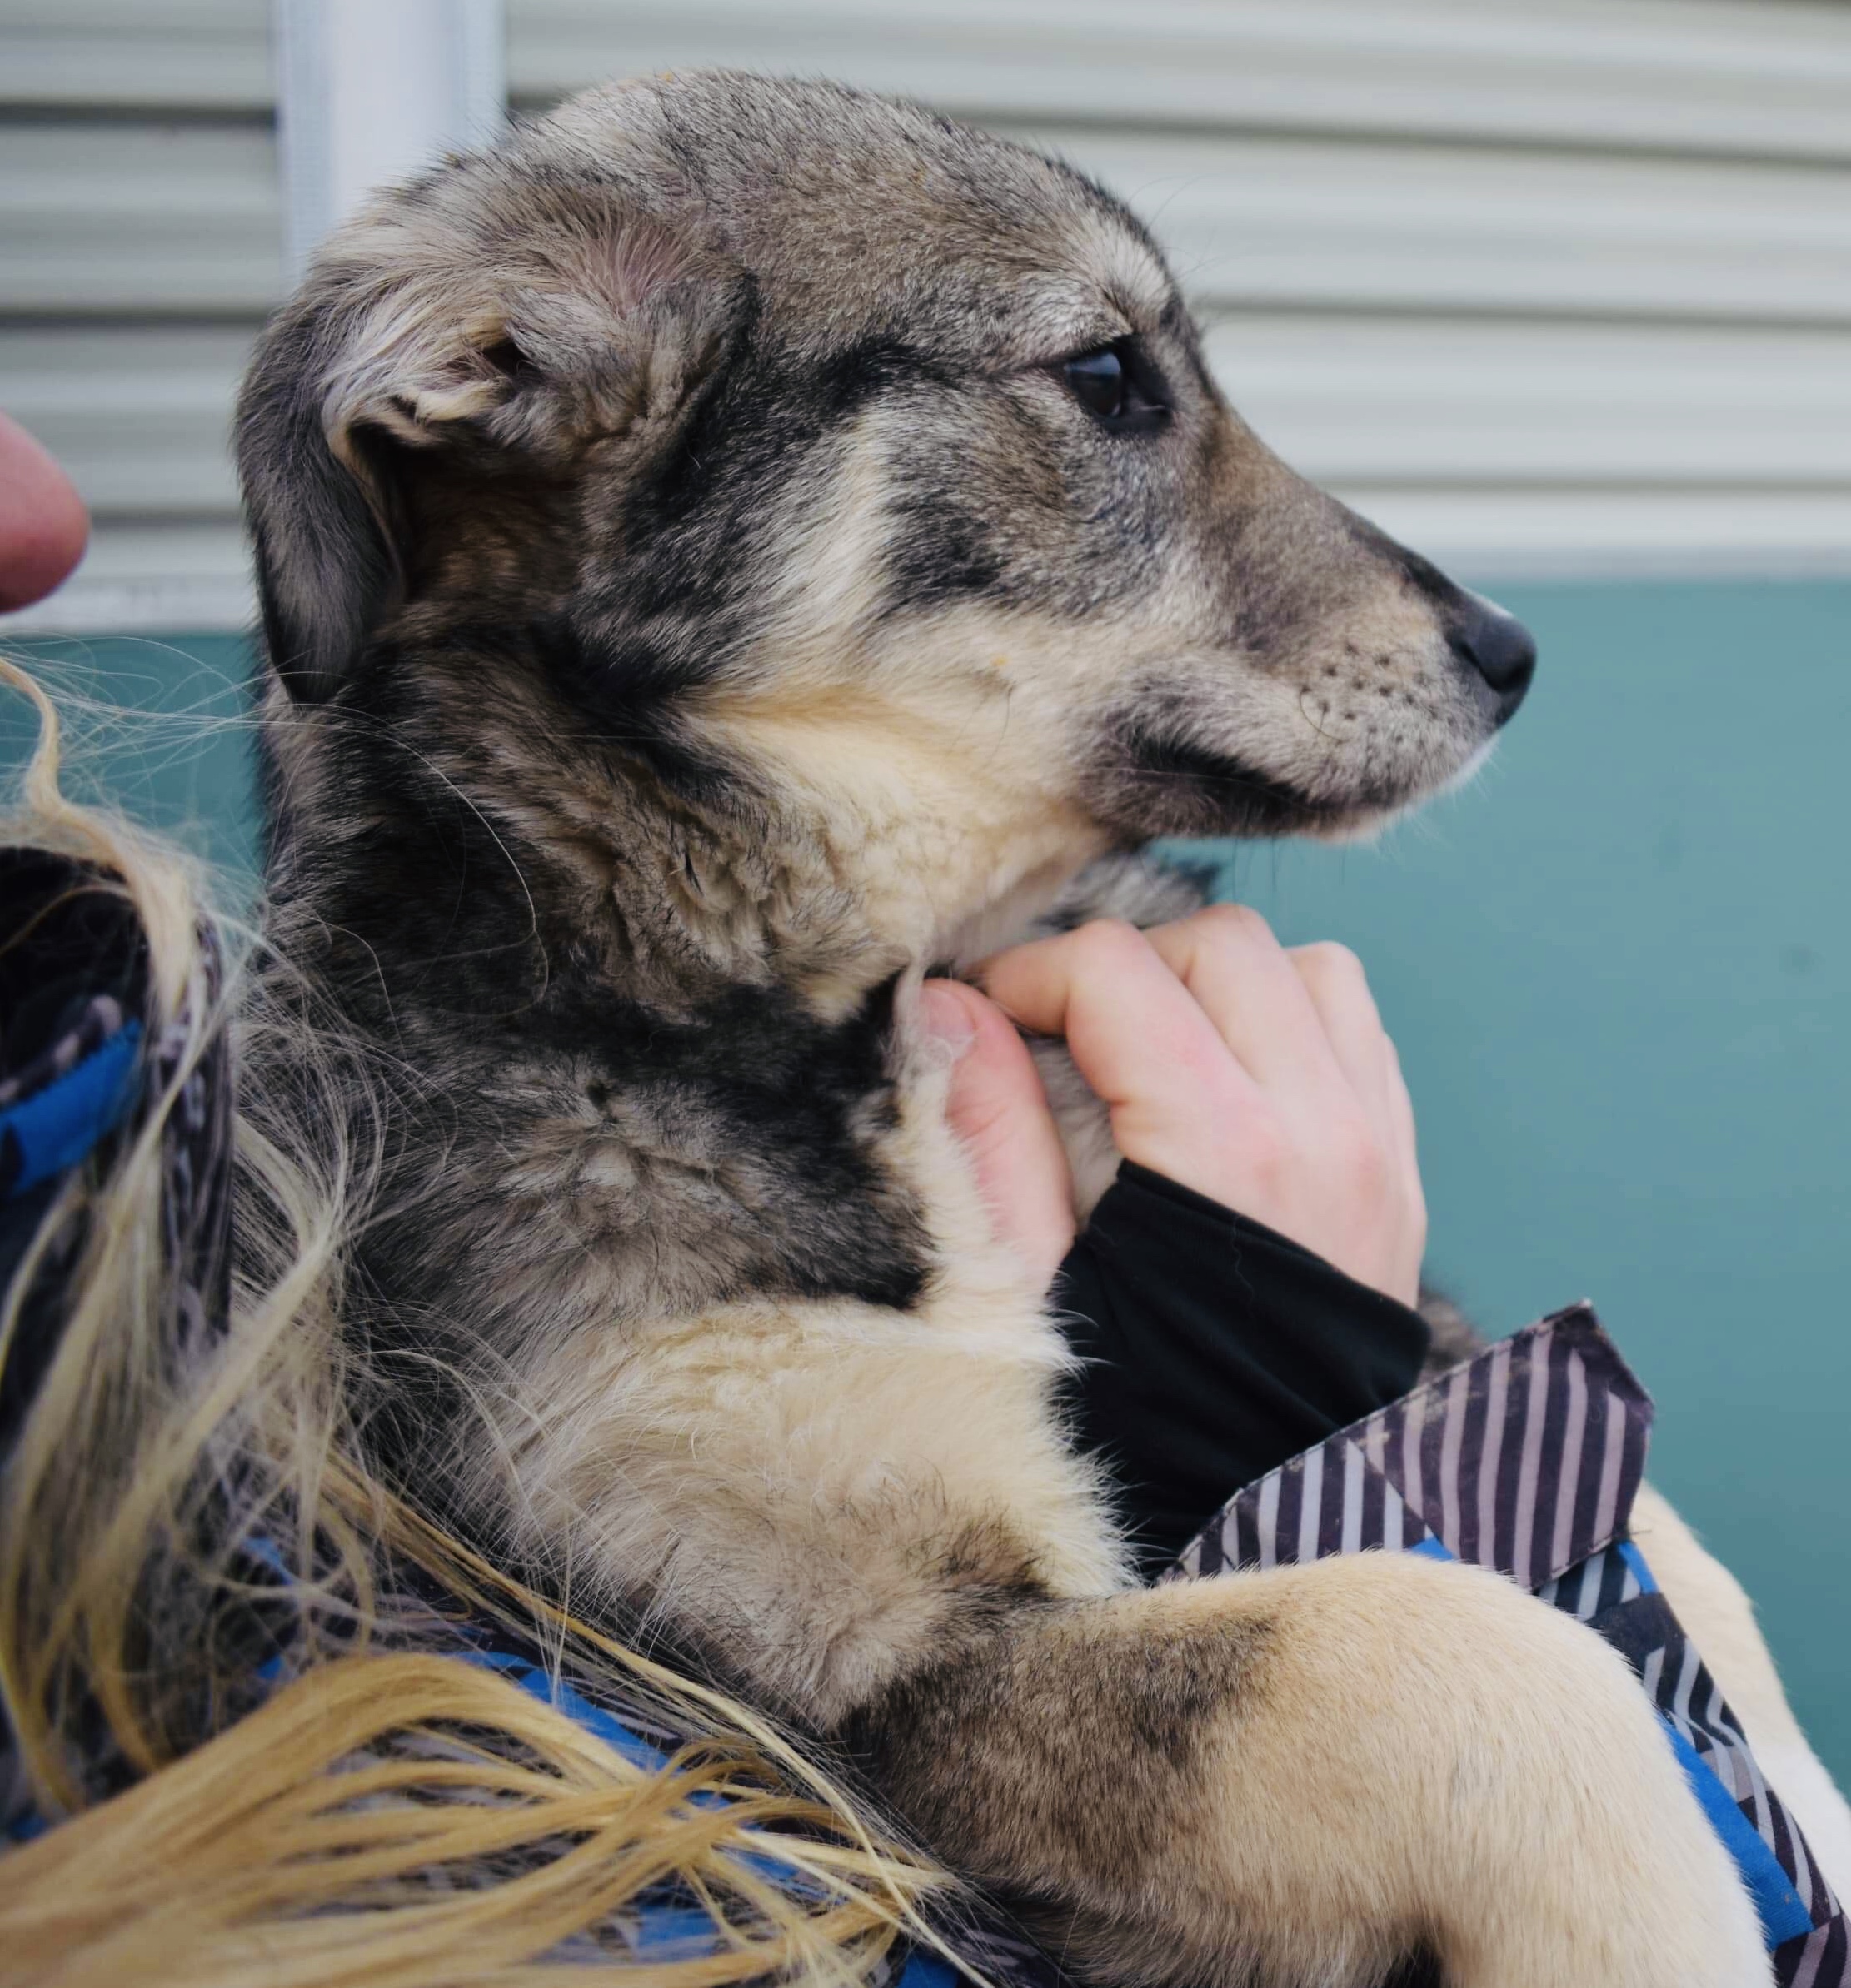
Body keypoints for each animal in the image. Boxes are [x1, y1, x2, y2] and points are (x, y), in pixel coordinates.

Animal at [234, 70, 1837, 1984]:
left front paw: (1795, 1805)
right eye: (1105, 374)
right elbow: (1465, 1647)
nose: (1511, 655)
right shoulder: (845, 1670)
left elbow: (1674, 1571)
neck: (878, 993)